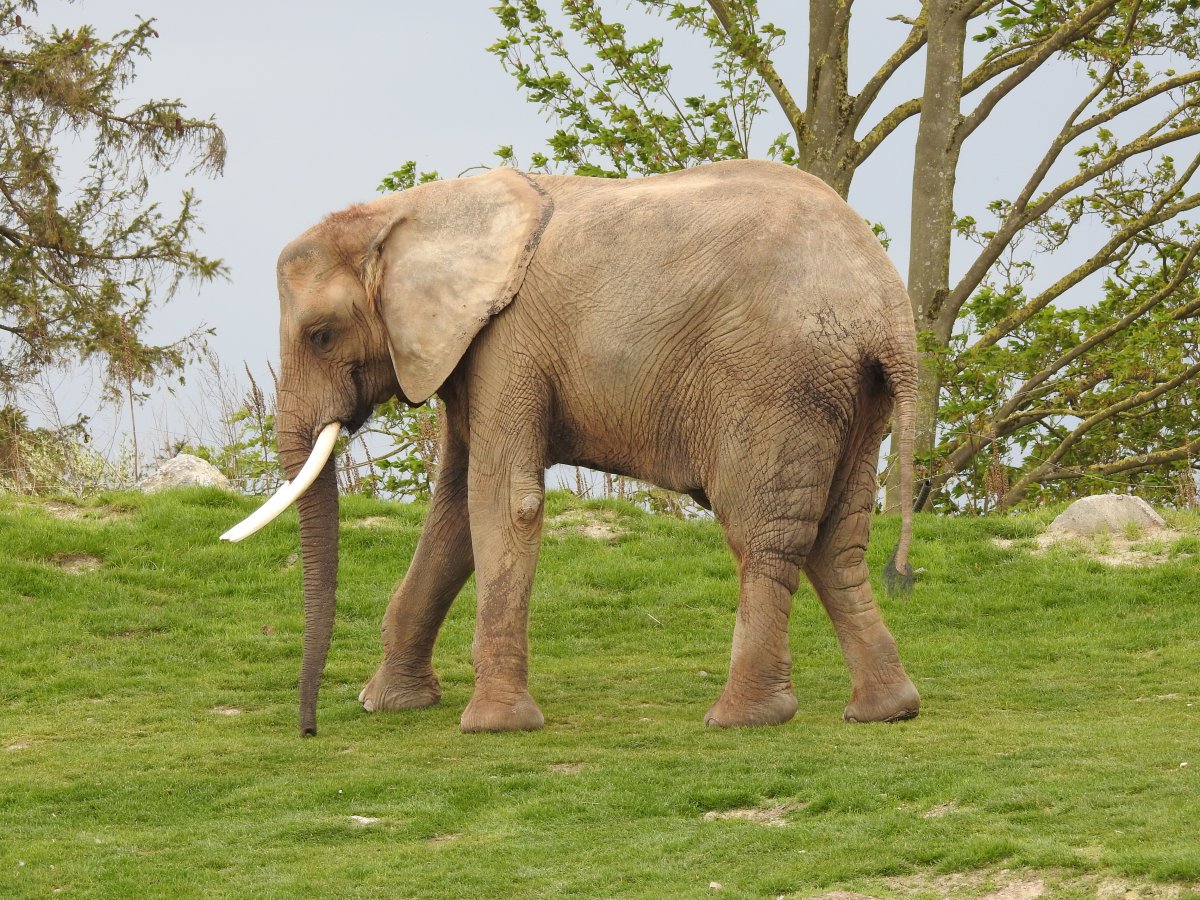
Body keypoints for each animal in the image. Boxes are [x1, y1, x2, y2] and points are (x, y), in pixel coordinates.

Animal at [223, 160, 916, 739]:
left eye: (320, 335)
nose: (309, 731)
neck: (403, 213)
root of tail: (889, 309)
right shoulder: (472, 352)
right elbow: (452, 516)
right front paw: (389, 706)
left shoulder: (506, 341)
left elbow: (501, 501)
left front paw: (492, 727)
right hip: (852, 395)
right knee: (837, 539)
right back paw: (886, 710)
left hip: (776, 382)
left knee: (762, 535)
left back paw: (741, 718)